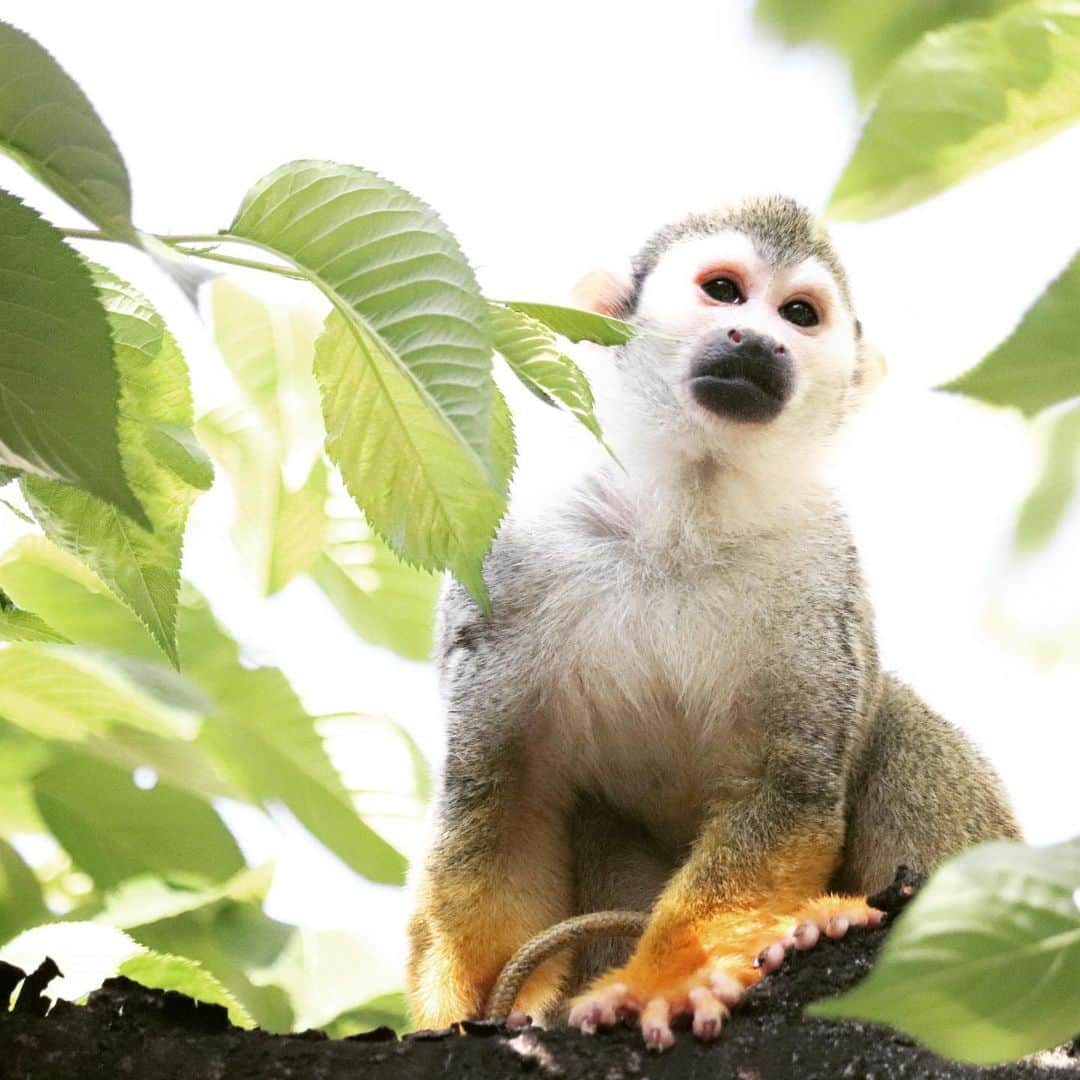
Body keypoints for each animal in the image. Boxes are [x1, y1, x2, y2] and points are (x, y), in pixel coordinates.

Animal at [406, 194, 1019, 1045]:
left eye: (799, 314)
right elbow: (504, 796)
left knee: (893, 717)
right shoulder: (510, 561)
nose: (757, 339)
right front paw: (471, 998)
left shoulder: (818, 566)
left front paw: (670, 976)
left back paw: (832, 920)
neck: (688, 506)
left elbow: (785, 790)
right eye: (724, 291)